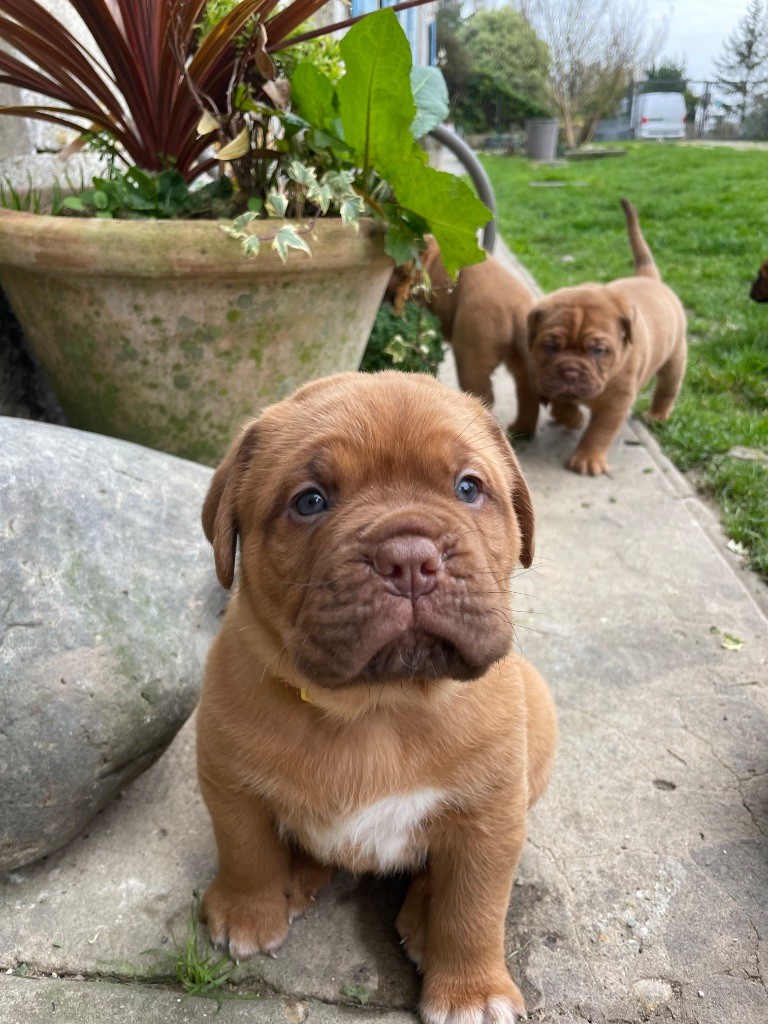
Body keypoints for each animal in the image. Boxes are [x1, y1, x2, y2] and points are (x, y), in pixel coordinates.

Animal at [196, 370, 561, 1024]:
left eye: (469, 488)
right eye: (310, 501)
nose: (409, 557)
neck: (379, 708)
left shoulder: (493, 815)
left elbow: (474, 908)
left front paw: (471, 990)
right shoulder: (227, 779)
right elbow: (245, 849)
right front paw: (247, 913)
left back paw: (420, 917)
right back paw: (302, 874)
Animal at [393, 237, 536, 434]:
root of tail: (519, 310)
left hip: (472, 354)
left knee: (484, 394)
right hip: (517, 356)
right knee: (526, 387)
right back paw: (522, 428)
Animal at [528, 199, 684, 475]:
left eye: (598, 351)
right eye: (550, 346)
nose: (570, 372)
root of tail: (649, 277)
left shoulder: (617, 401)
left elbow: (600, 431)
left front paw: (587, 458)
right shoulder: (546, 378)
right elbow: (561, 404)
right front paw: (574, 418)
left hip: (675, 358)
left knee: (668, 387)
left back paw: (658, 415)